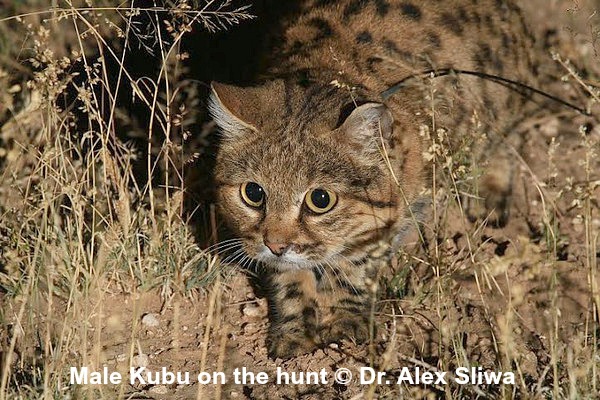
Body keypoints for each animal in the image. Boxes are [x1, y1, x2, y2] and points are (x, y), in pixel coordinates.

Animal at [207, 0, 544, 356]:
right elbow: (289, 277)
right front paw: (294, 330)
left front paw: (344, 321)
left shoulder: (405, 209)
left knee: (505, 141)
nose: (276, 245)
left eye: (320, 200)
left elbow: (357, 261)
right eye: (253, 193)